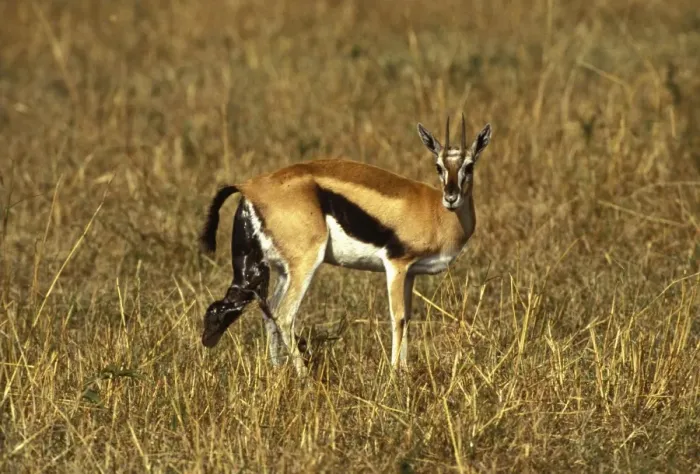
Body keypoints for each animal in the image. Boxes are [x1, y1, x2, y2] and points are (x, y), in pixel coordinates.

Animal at [200, 115, 491, 376]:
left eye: (469, 165)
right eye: (438, 166)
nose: (451, 197)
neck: (435, 212)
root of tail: (248, 187)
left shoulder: (410, 274)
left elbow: (407, 318)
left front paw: (405, 370)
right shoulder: (396, 265)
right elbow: (397, 317)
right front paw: (395, 375)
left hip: (281, 270)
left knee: (268, 310)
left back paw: (276, 371)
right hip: (305, 264)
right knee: (283, 314)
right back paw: (304, 377)